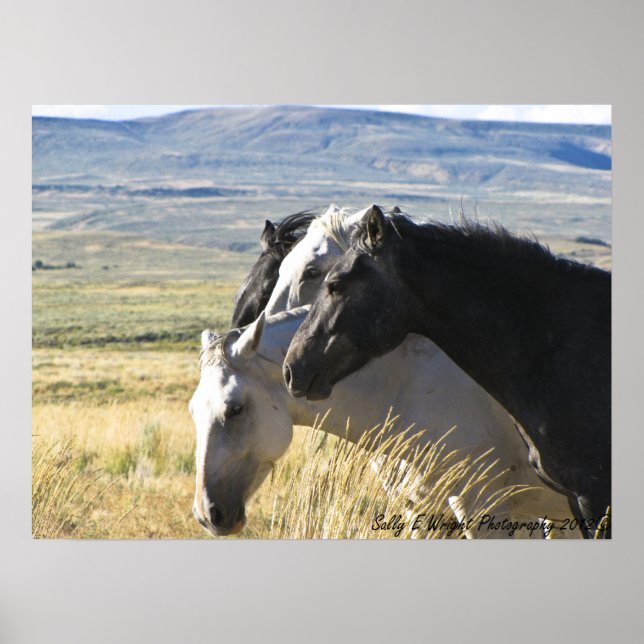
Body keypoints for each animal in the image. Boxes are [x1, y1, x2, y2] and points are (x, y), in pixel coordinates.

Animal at [189, 307, 573, 537]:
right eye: (193, 411)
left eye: (235, 409)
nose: (209, 515)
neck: (415, 384)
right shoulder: (423, 513)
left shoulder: (488, 513)